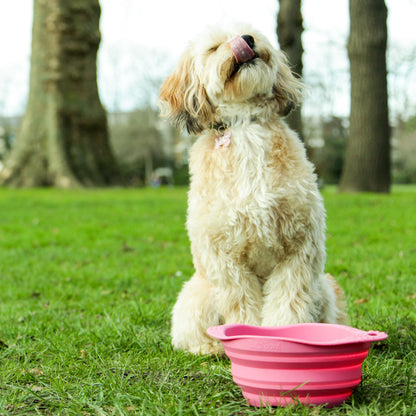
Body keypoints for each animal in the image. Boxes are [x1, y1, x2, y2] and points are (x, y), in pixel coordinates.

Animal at [158, 23, 342, 354]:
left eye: (251, 32)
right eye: (214, 47)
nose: (246, 41)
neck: (245, 126)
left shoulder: (299, 248)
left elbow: (289, 301)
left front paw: (284, 340)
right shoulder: (225, 260)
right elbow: (243, 305)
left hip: (324, 286)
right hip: (196, 295)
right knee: (192, 335)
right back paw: (213, 347)